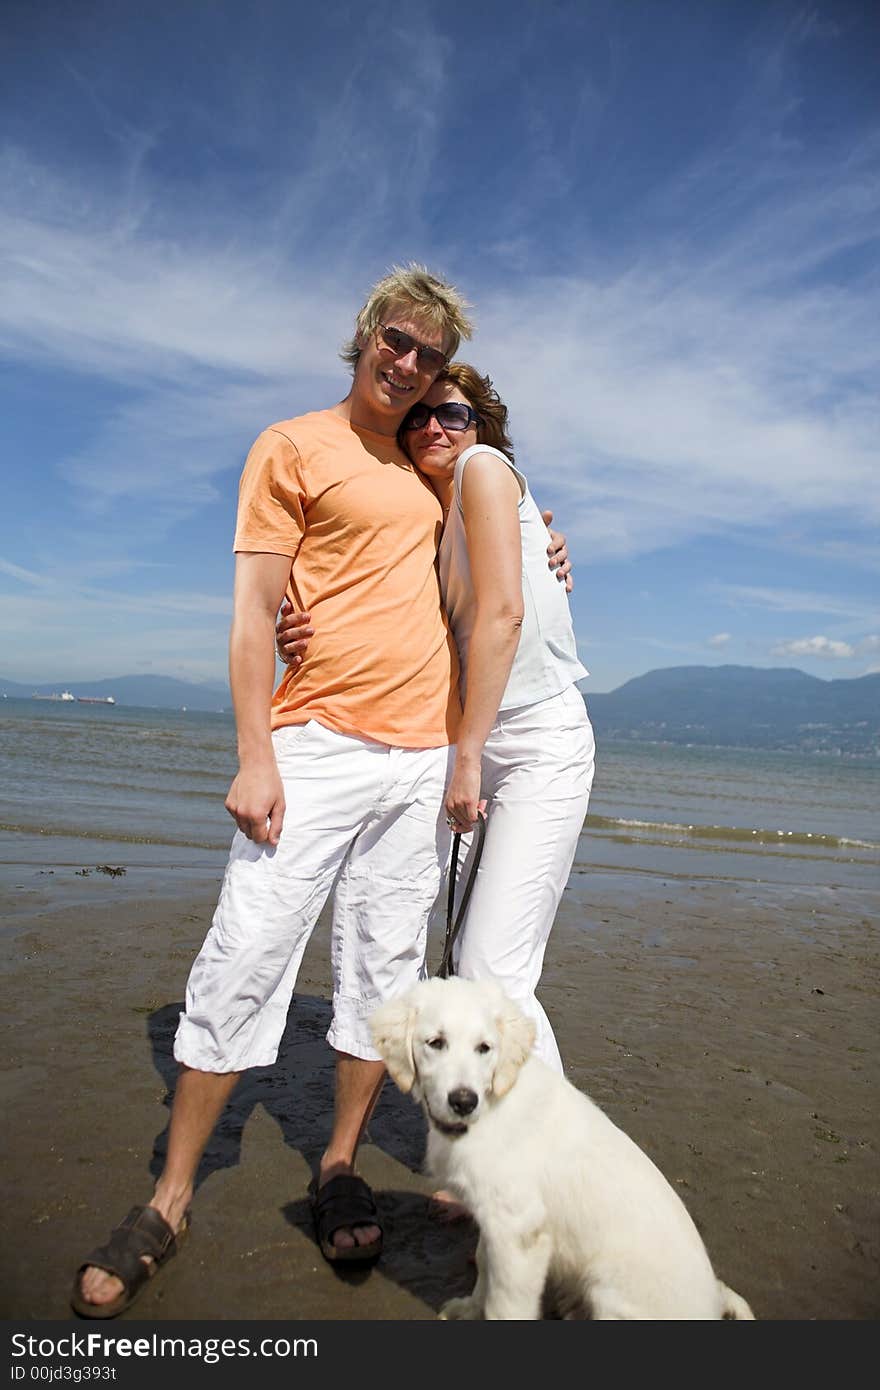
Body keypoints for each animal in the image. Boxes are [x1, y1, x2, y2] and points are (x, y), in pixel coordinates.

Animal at [369, 978, 756, 1323]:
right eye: (435, 1043)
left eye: (484, 1048)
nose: (464, 1102)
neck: (492, 1107)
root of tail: (713, 1304)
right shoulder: (495, 1221)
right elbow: (485, 1267)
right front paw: (469, 1308)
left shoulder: (520, 1230)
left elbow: (505, 1304)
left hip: (608, 1289)